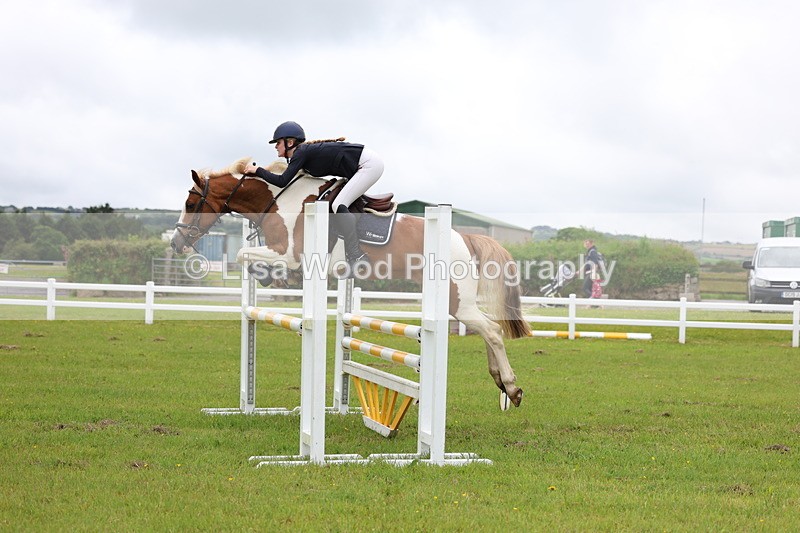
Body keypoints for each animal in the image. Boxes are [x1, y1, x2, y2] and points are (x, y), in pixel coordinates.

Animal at [170, 157, 532, 408]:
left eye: (190, 203)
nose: (176, 243)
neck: (282, 201)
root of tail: (465, 238)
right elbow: (245, 254)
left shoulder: (292, 255)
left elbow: (243, 253)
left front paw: (271, 277)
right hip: (458, 302)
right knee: (487, 331)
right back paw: (500, 383)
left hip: (457, 301)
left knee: (492, 331)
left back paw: (512, 387)